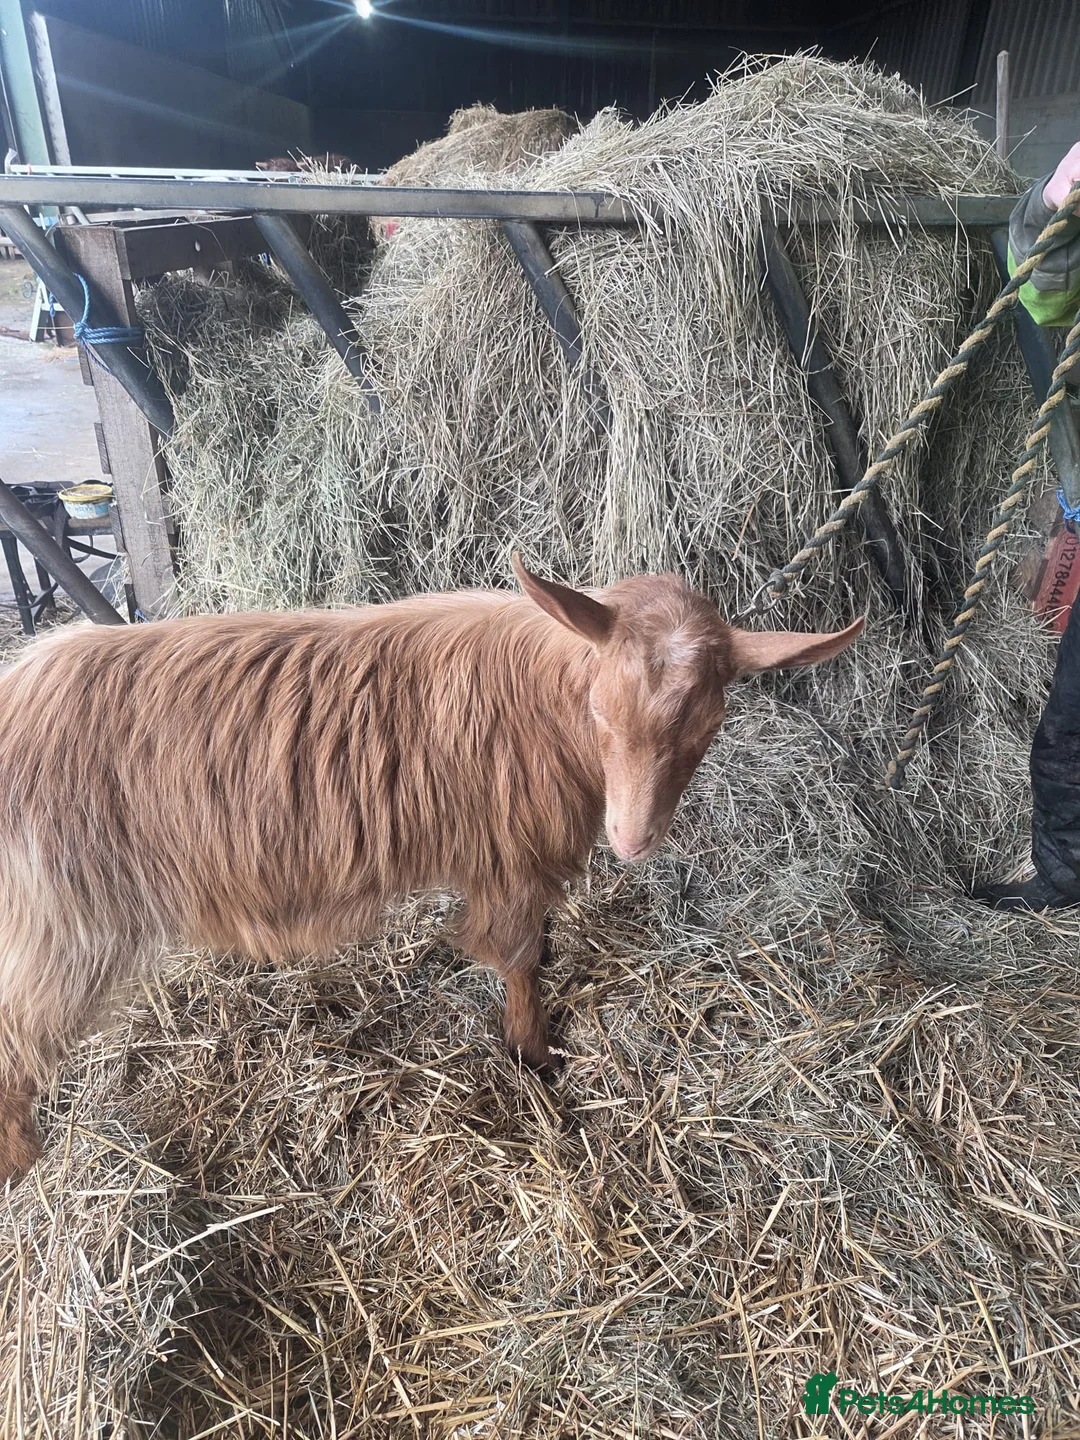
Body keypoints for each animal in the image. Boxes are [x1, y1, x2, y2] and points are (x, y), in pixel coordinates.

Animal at [0, 557, 861, 1181]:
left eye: (710, 726)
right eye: (599, 710)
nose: (632, 838)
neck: (545, 699)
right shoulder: (510, 860)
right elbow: (517, 960)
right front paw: (535, 1058)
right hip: (59, 927)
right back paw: (26, 1169)